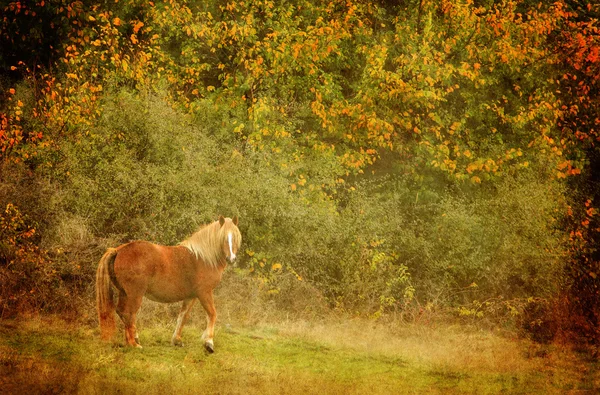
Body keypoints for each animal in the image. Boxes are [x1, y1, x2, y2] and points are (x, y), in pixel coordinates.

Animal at [96, 217, 241, 352]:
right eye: (223, 238)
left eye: (235, 237)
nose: (231, 259)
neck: (202, 258)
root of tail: (118, 250)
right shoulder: (204, 293)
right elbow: (212, 314)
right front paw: (209, 342)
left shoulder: (191, 296)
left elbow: (183, 316)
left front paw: (177, 340)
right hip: (134, 295)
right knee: (129, 314)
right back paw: (134, 344)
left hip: (124, 293)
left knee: (122, 312)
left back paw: (133, 340)